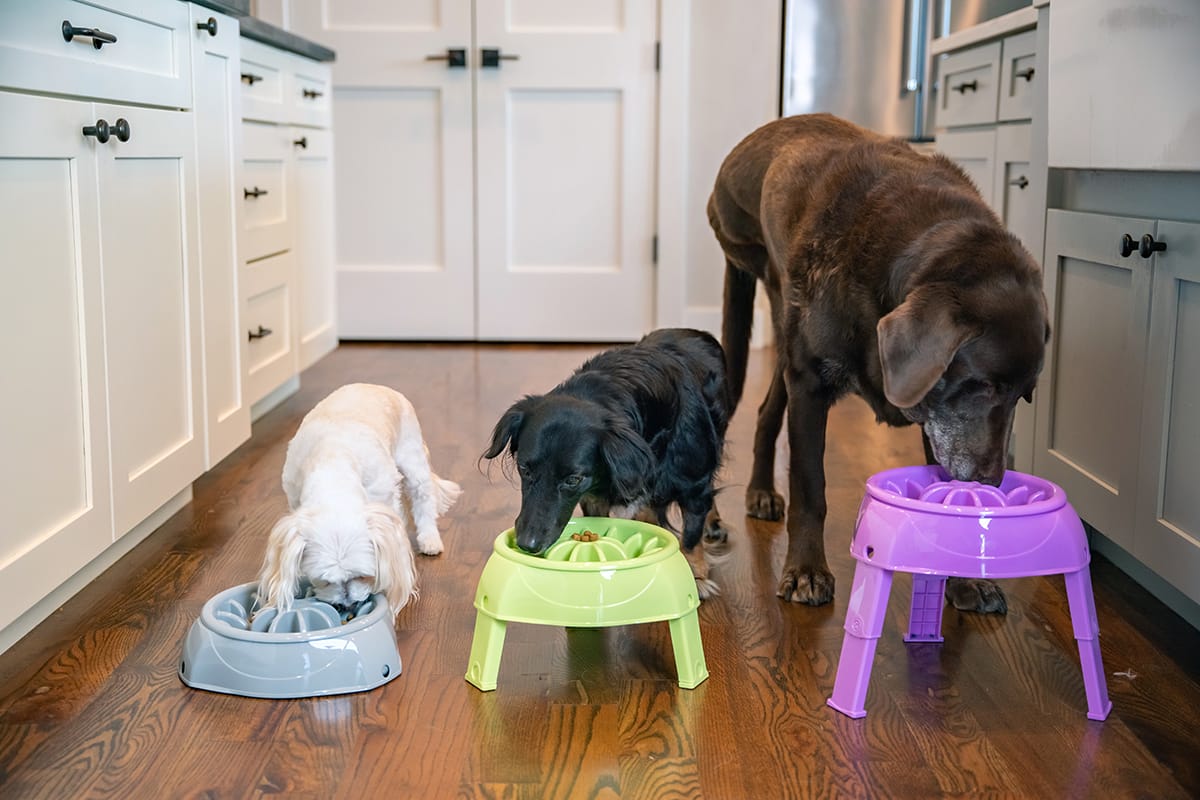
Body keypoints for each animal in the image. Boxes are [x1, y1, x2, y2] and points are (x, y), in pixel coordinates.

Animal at [255, 383, 460, 618]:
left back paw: (430, 539)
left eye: (362, 575)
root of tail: (377, 386)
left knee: (423, 499)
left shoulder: (383, 500)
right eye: (324, 581)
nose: (347, 606)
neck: (333, 467)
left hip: (413, 460)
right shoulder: (295, 499)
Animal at [484, 328, 729, 597]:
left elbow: (691, 537)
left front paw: (696, 576)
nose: (527, 544)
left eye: (573, 479)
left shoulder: (693, 484)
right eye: (524, 469)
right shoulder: (594, 497)